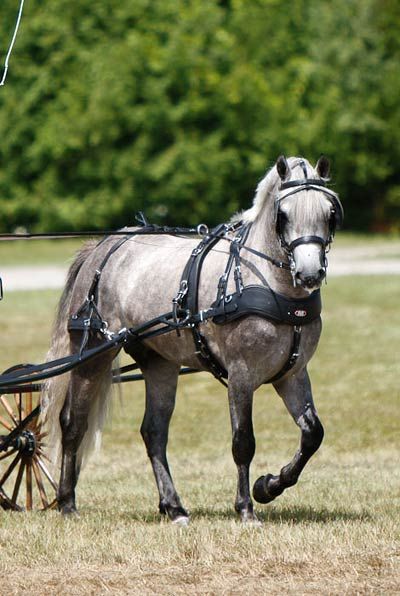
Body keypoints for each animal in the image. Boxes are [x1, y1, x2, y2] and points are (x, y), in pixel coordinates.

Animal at [42, 156, 342, 524]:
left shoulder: (292, 374)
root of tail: (102, 247)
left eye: (329, 213)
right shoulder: (241, 375)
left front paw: (269, 485)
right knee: (73, 423)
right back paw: (67, 502)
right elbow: (243, 441)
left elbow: (312, 434)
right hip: (94, 353)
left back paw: (173, 506)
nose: (310, 273)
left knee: (154, 432)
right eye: (283, 215)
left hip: (160, 363)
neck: (268, 282)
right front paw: (246, 507)